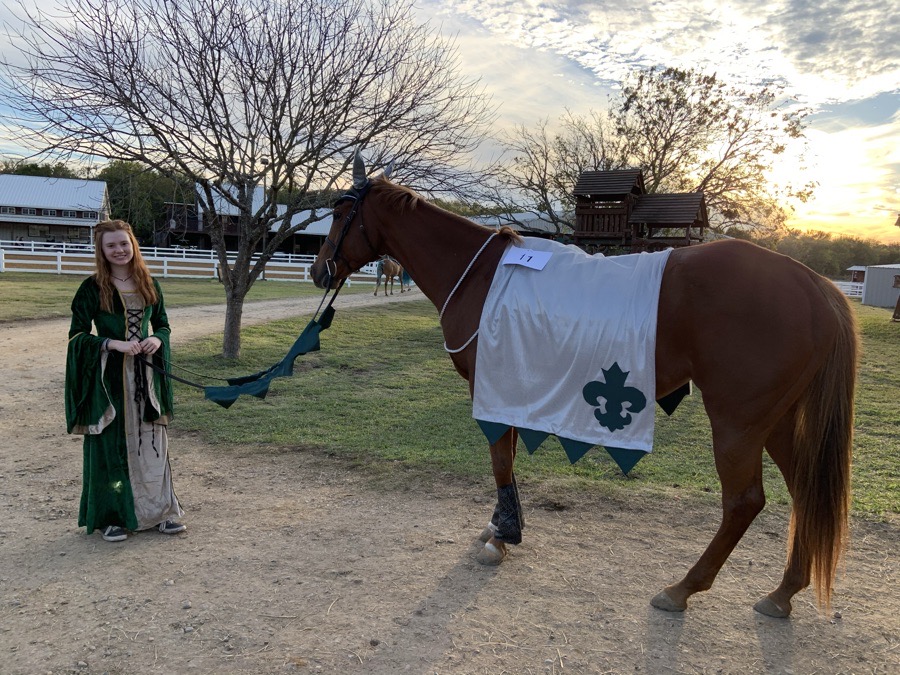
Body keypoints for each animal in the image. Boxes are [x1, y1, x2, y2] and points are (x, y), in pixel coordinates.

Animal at [311, 156, 857, 619]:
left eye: (339, 212)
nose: (318, 270)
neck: (481, 276)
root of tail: (813, 284)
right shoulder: (512, 387)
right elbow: (508, 457)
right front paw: (503, 524)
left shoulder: (492, 386)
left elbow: (500, 460)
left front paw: (503, 535)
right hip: (776, 421)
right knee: (804, 492)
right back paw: (783, 591)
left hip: (737, 422)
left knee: (744, 502)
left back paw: (683, 587)